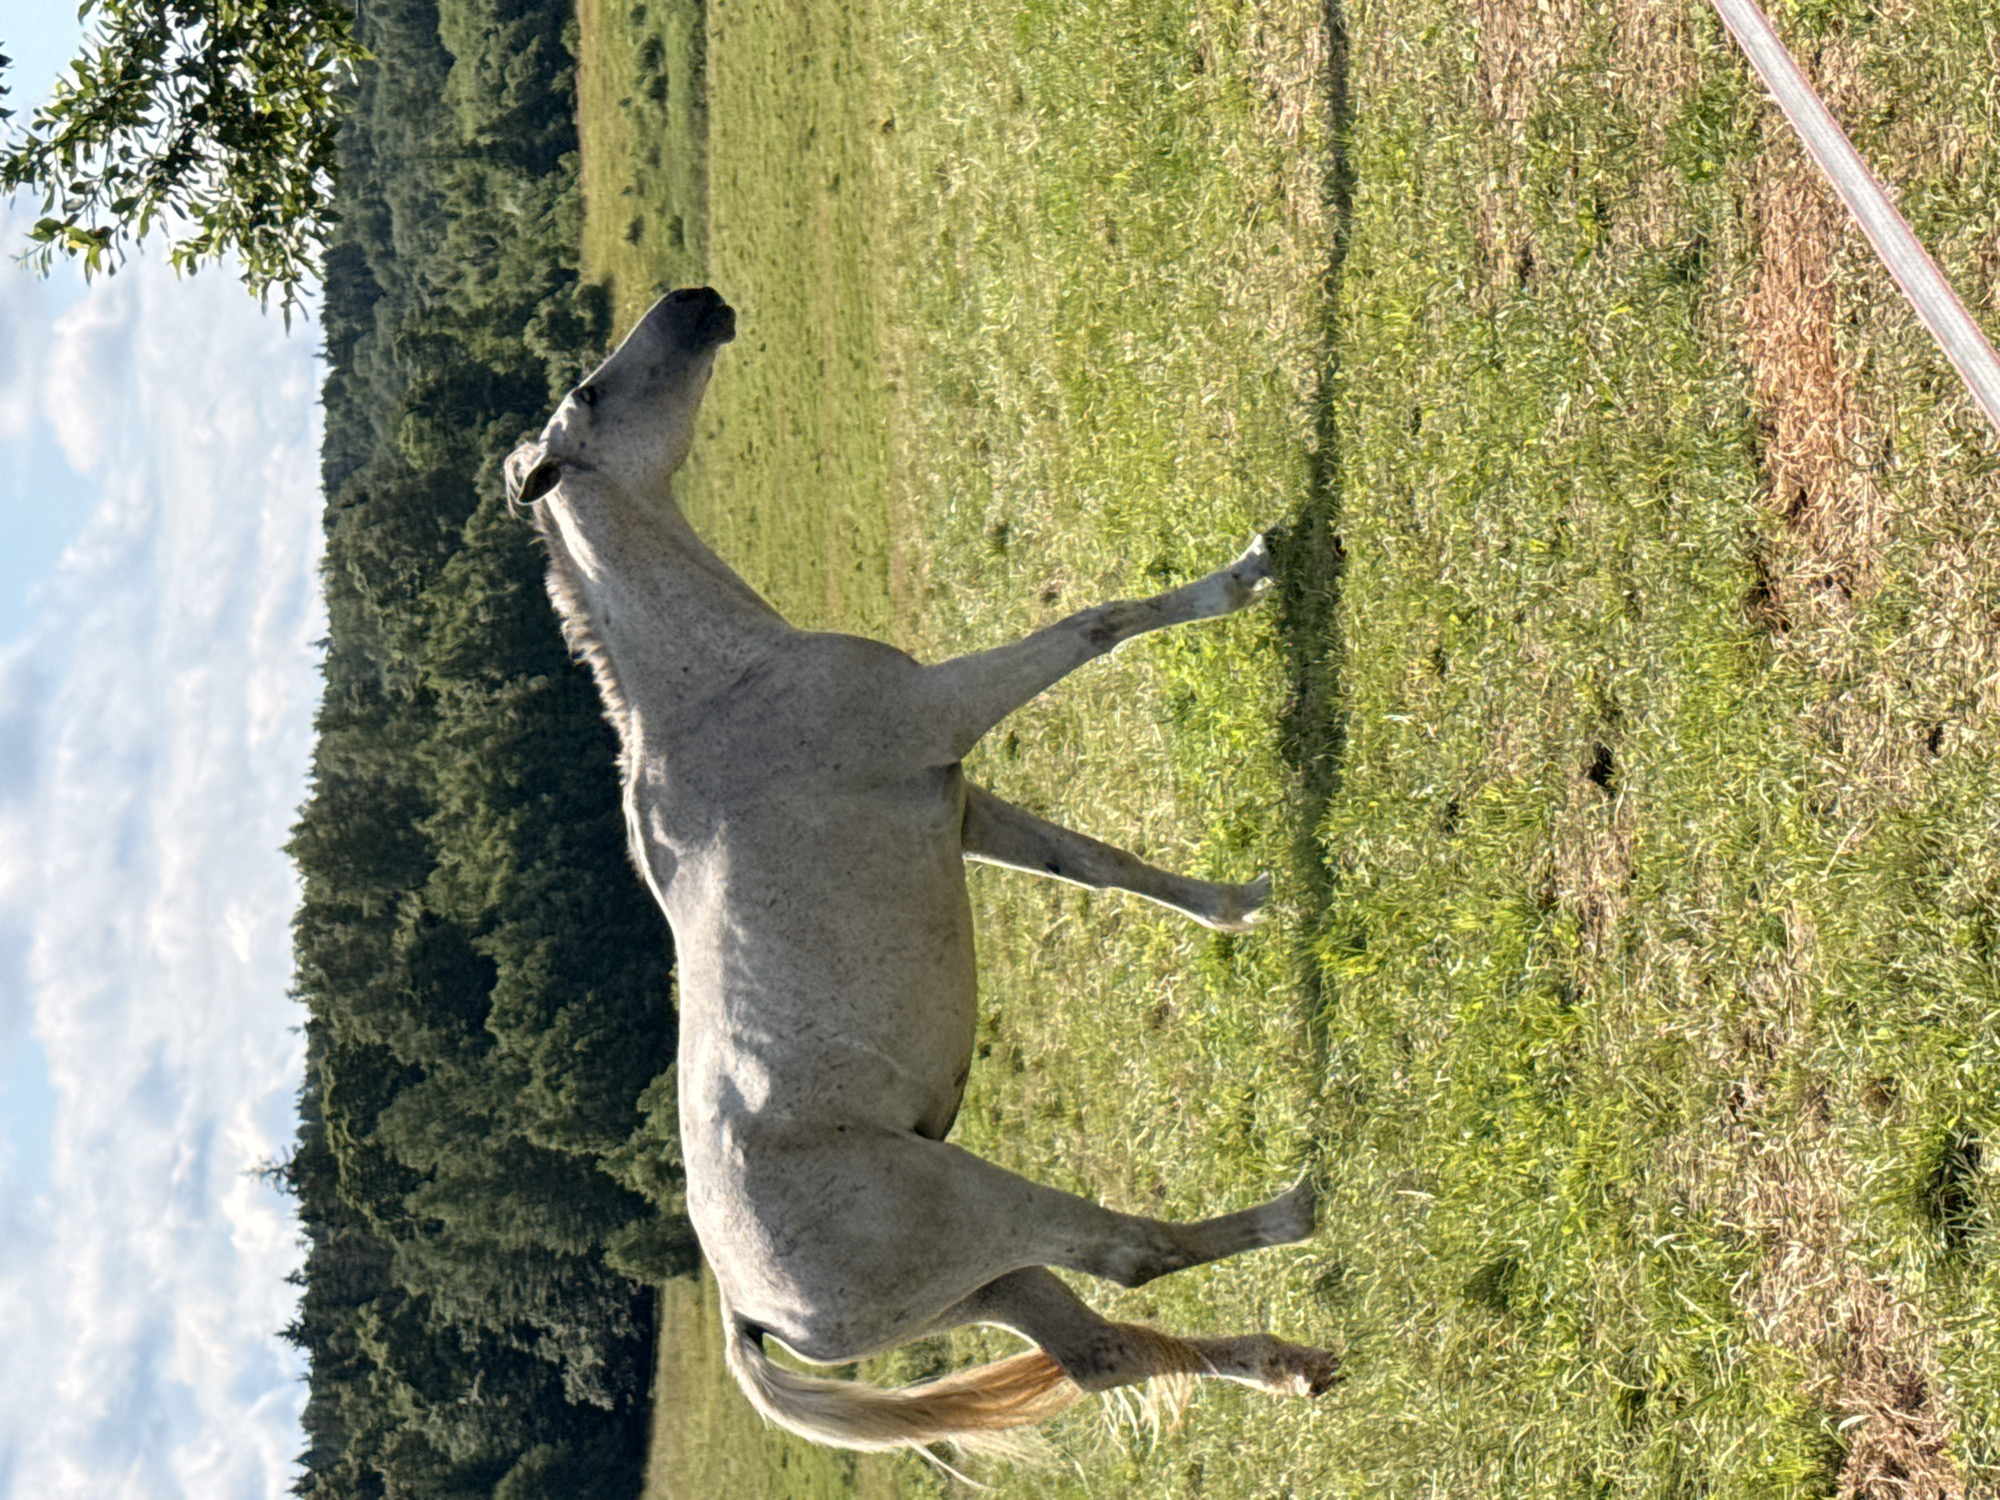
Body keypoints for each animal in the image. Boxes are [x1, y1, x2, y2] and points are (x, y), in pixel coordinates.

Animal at [505, 286, 1337, 1459]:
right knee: (1131, 1256)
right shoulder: (949, 712)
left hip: (981, 1281)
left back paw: (1294, 1367)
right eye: (589, 392)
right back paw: (1301, 1206)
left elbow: (1101, 869)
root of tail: (748, 1308)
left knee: (1103, 1352)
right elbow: (1097, 625)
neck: (724, 692)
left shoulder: (958, 802)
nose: (695, 302)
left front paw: (1240, 906)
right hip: (981, 1210)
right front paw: (1249, 570)